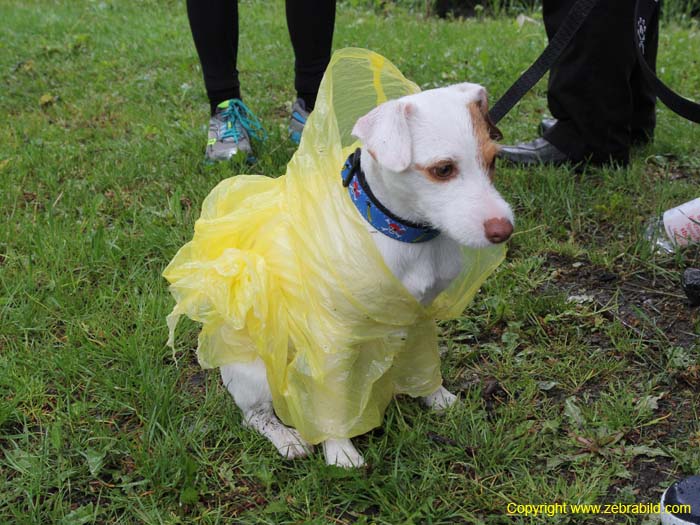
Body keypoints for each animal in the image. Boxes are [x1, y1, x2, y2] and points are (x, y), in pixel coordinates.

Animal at [216, 82, 512, 466]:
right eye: (443, 169)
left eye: (494, 160)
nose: (504, 230)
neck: (400, 233)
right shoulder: (330, 341)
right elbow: (330, 405)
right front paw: (340, 452)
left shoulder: (419, 318)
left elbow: (426, 366)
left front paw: (438, 398)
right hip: (255, 375)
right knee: (255, 416)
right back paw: (288, 438)